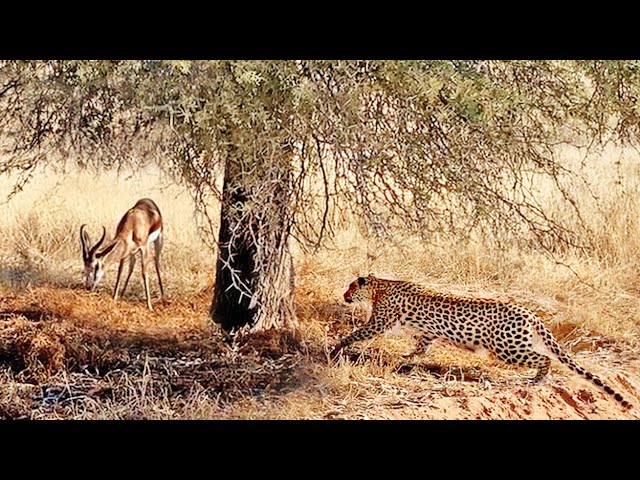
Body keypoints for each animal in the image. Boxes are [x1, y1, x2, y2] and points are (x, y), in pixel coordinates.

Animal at [331, 275, 631, 409]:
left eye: (350, 287)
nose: (344, 295)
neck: (380, 285)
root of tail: (530, 313)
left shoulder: (378, 323)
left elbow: (356, 334)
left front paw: (336, 347)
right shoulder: (428, 333)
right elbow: (421, 345)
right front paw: (409, 358)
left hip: (508, 348)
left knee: (545, 358)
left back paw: (536, 379)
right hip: (516, 345)